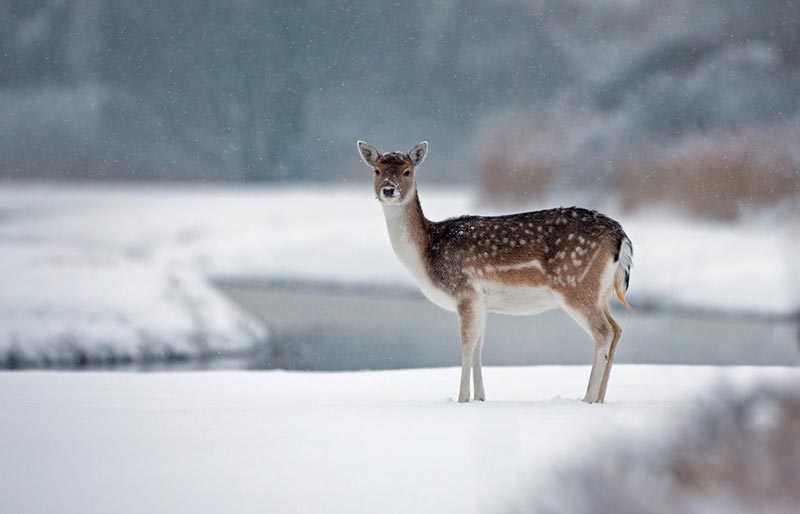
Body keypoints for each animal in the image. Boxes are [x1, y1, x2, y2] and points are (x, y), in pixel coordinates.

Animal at [356, 139, 632, 400]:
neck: (427, 254)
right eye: (377, 170)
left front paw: (462, 398)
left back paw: (587, 398)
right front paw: (480, 397)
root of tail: (620, 236)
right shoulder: (481, 302)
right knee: (617, 329)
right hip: (601, 291)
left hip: (575, 284)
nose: (388, 189)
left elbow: (467, 347)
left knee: (603, 332)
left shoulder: (465, 292)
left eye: (407, 171)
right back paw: (600, 398)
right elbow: (479, 348)